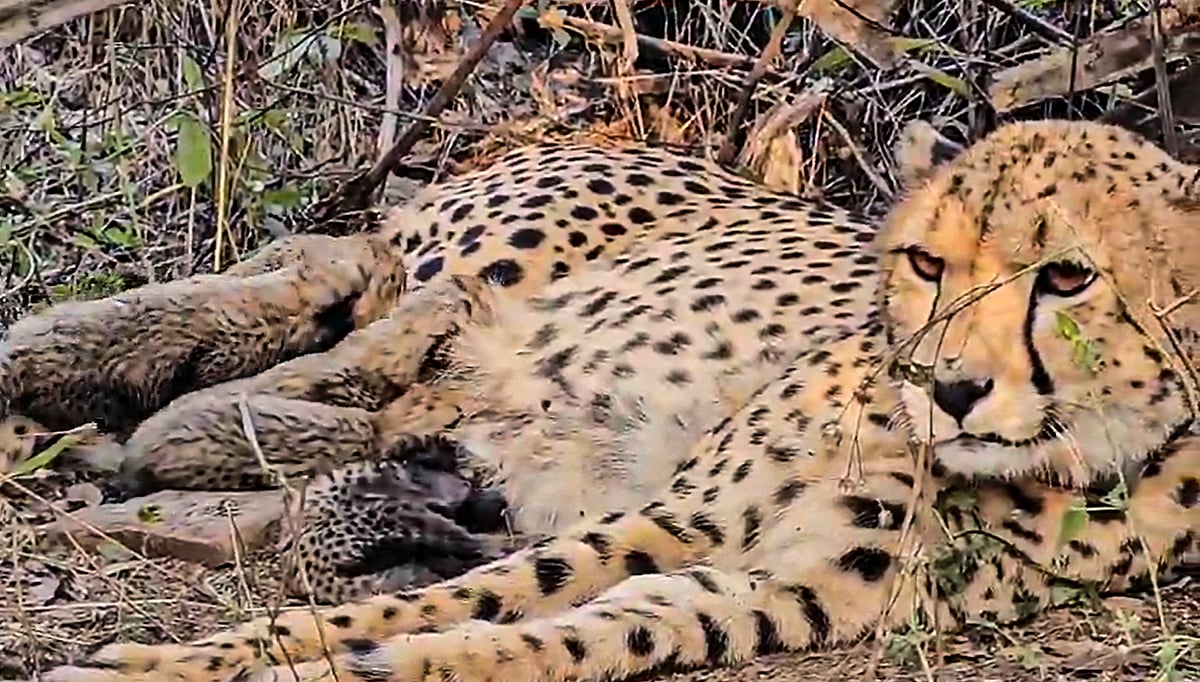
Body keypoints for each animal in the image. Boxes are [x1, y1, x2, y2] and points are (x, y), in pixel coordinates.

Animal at [16, 118, 1199, 682]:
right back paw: (61, 370)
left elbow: (541, 632)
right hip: (505, 251)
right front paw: (174, 661)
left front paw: (384, 659)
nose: (946, 385)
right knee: (349, 278)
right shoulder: (684, 515)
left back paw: (152, 449)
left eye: (1068, 277)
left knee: (386, 373)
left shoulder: (784, 591)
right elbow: (435, 600)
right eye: (924, 263)